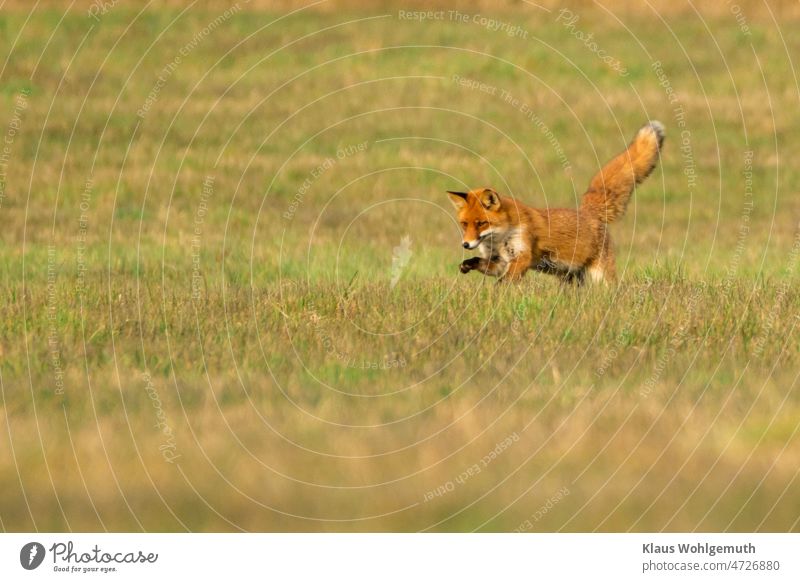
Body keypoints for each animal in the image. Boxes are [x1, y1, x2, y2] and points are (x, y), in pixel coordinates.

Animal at [446, 122, 664, 286]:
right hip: (571, 277)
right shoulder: (499, 261)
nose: (466, 244)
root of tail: (587, 212)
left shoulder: (523, 256)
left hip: (600, 276)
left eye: (481, 223)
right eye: (464, 224)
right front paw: (467, 264)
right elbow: (483, 263)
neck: (499, 238)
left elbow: (504, 282)